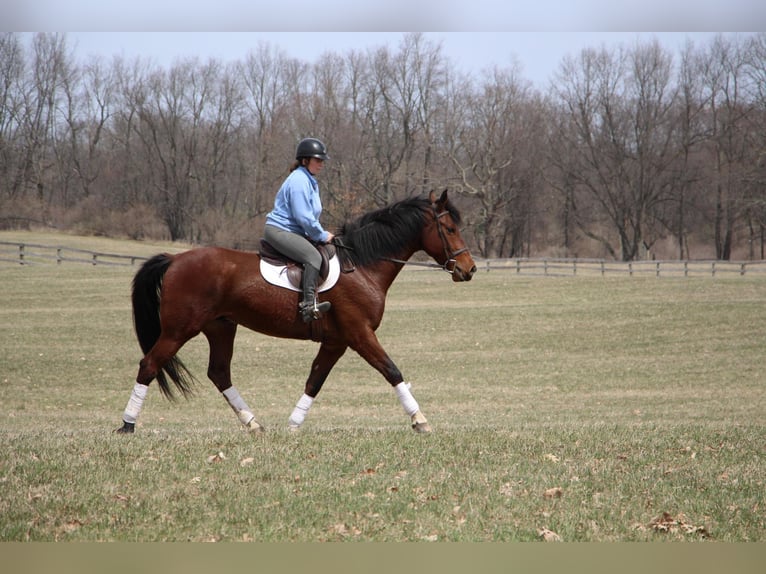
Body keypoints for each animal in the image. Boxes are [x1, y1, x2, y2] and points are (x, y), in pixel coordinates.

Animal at [115, 190, 476, 436]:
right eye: (449, 228)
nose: (469, 269)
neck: (361, 265)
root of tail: (175, 259)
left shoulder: (336, 342)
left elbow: (314, 380)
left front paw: (293, 424)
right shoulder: (360, 334)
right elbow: (391, 370)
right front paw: (419, 419)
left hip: (221, 328)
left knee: (219, 373)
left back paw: (253, 423)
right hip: (179, 330)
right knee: (149, 365)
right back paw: (127, 425)